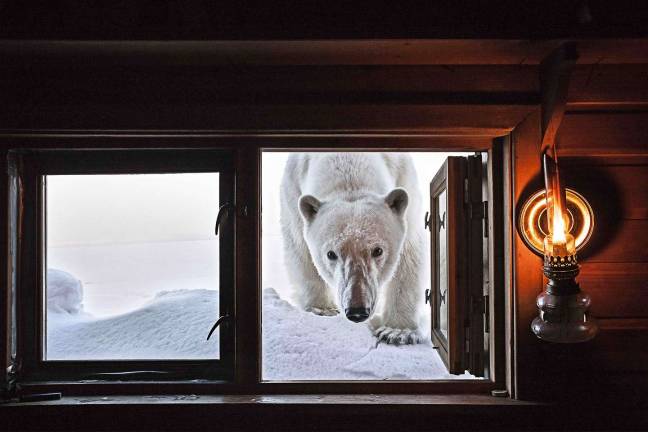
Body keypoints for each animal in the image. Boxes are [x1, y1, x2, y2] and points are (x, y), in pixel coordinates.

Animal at [280, 152, 425, 344]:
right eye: (331, 254)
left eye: (378, 250)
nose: (357, 311)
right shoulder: (293, 188)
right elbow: (299, 247)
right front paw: (323, 308)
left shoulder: (405, 179)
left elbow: (408, 255)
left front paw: (397, 332)